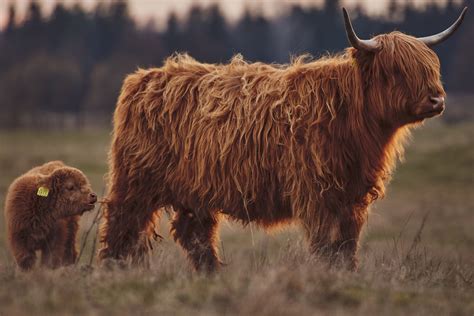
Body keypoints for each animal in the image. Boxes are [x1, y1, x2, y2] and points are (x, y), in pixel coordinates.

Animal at [99, 8, 466, 272]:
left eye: (430, 66)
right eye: (396, 70)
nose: (437, 100)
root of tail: (143, 78)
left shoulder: (352, 197)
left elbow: (347, 244)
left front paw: (346, 275)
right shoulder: (318, 194)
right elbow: (327, 243)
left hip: (195, 190)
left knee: (195, 232)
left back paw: (212, 274)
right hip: (136, 180)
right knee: (121, 222)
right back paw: (113, 270)